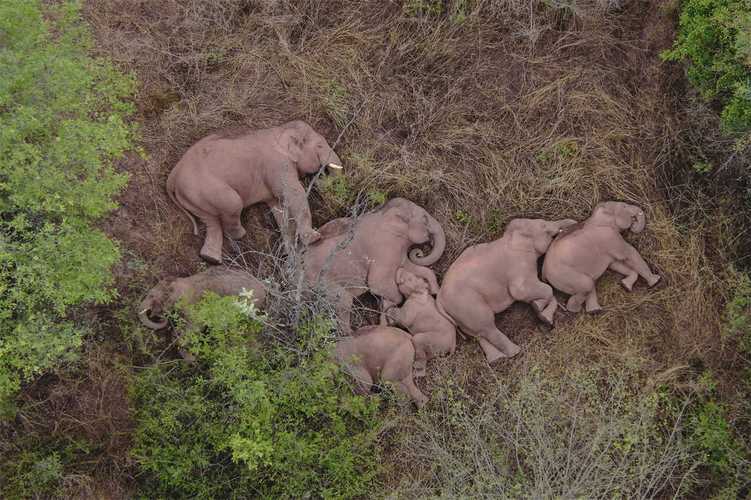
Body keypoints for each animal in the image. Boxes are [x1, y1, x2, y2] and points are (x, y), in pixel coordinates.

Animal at [167, 119, 344, 264]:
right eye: (320, 146)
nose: (320, 176)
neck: (280, 129)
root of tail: (173, 175)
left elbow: (279, 207)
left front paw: (291, 254)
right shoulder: (277, 164)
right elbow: (293, 194)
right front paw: (314, 239)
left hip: (193, 197)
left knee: (211, 221)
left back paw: (210, 259)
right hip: (205, 188)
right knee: (233, 203)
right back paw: (240, 235)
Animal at [306, 197, 446, 334]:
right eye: (425, 218)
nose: (419, 252)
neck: (384, 212)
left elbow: (410, 267)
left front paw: (434, 291)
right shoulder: (384, 247)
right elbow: (378, 284)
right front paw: (389, 312)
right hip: (324, 282)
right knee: (343, 303)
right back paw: (353, 332)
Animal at [438, 219, 580, 364]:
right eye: (543, 225)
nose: (573, 223)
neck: (510, 237)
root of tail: (439, 299)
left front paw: (541, 312)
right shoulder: (519, 264)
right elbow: (524, 291)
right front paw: (538, 307)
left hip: (461, 314)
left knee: (478, 333)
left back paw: (497, 359)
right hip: (467, 304)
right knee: (487, 326)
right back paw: (515, 352)